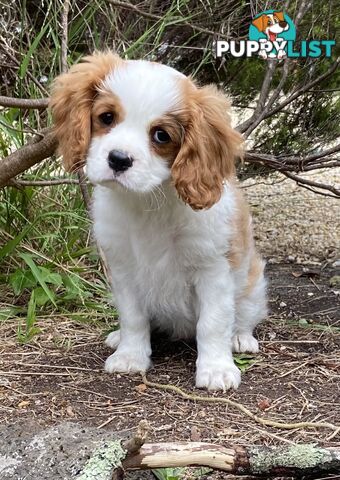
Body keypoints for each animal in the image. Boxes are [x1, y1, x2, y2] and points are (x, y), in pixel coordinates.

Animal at [51, 52, 268, 390]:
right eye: (106, 118)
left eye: (161, 135)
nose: (118, 159)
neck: (148, 201)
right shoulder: (123, 269)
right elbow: (133, 317)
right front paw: (131, 355)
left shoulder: (213, 270)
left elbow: (214, 322)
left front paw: (216, 368)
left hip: (253, 284)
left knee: (244, 316)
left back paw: (240, 338)